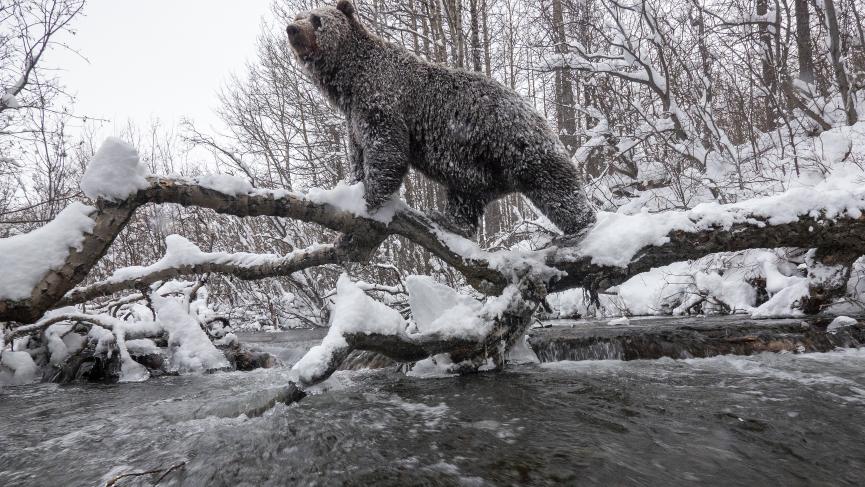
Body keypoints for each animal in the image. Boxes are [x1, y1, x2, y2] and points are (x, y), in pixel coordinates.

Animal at [286, 0, 596, 241]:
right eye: (299, 16)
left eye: (317, 19)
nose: (292, 29)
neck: (350, 81)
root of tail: (541, 117)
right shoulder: (354, 118)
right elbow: (359, 153)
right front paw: (355, 185)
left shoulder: (383, 102)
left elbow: (388, 150)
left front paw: (370, 199)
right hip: (475, 169)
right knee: (465, 200)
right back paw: (450, 222)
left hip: (519, 146)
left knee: (559, 192)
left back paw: (584, 227)